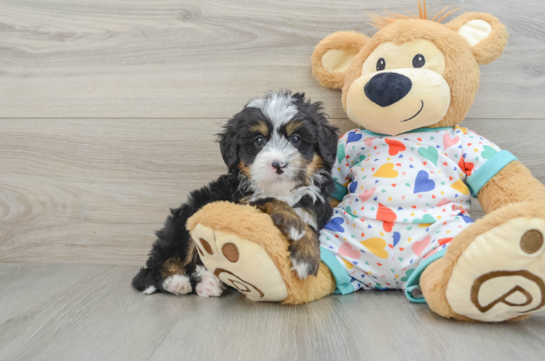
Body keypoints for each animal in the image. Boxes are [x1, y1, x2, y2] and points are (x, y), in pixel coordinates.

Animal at [131, 91, 340, 296]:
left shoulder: (315, 201)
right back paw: (176, 281)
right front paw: (293, 223)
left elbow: (309, 222)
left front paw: (306, 257)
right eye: (259, 140)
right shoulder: (240, 200)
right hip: (187, 217)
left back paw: (208, 283)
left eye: (296, 139)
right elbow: (268, 199)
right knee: (167, 261)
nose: (278, 164)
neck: (280, 190)